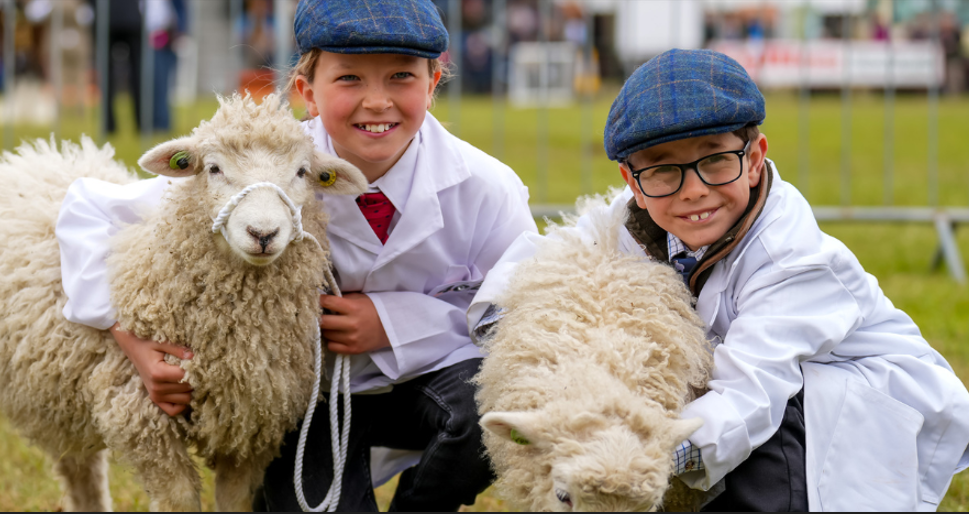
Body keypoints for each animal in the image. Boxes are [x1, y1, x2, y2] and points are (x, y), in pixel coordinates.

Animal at [0, 94, 368, 510]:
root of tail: (36, 155)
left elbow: (234, 501)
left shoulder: (252, 426)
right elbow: (179, 500)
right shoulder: (142, 418)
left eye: (303, 172)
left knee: (81, 470)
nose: (263, 233)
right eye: (213, 168)